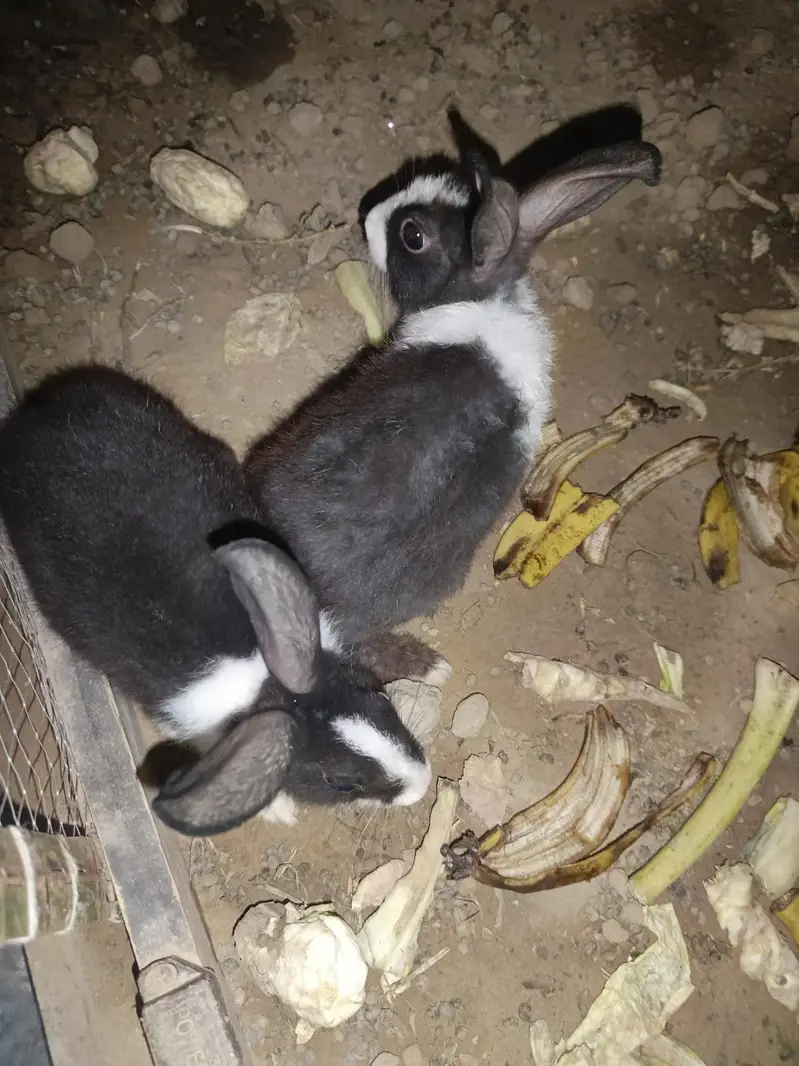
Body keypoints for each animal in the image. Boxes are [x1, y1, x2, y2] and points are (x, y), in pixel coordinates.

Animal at [0, 365, 432, 837]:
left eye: (379, 697)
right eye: (340, 783)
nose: (423, 784)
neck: (253, 672)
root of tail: (30, 419)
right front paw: (279, 809)